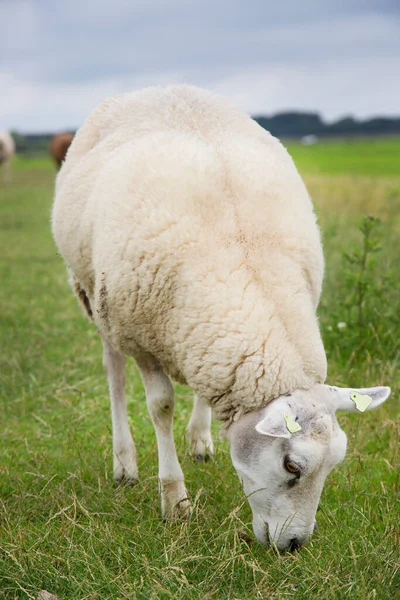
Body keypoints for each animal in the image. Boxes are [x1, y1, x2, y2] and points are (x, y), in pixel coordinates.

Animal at [51, 85, 392, 552]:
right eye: (292, 465)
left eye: (333, 466)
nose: (294, 546)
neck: (244, 252)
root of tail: (162, 86)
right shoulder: (140, 336)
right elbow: (160, 406)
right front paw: (174, 500)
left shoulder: (204, 328)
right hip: (94, 296)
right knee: (114, 373)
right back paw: (125, 464)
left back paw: (200, 439)